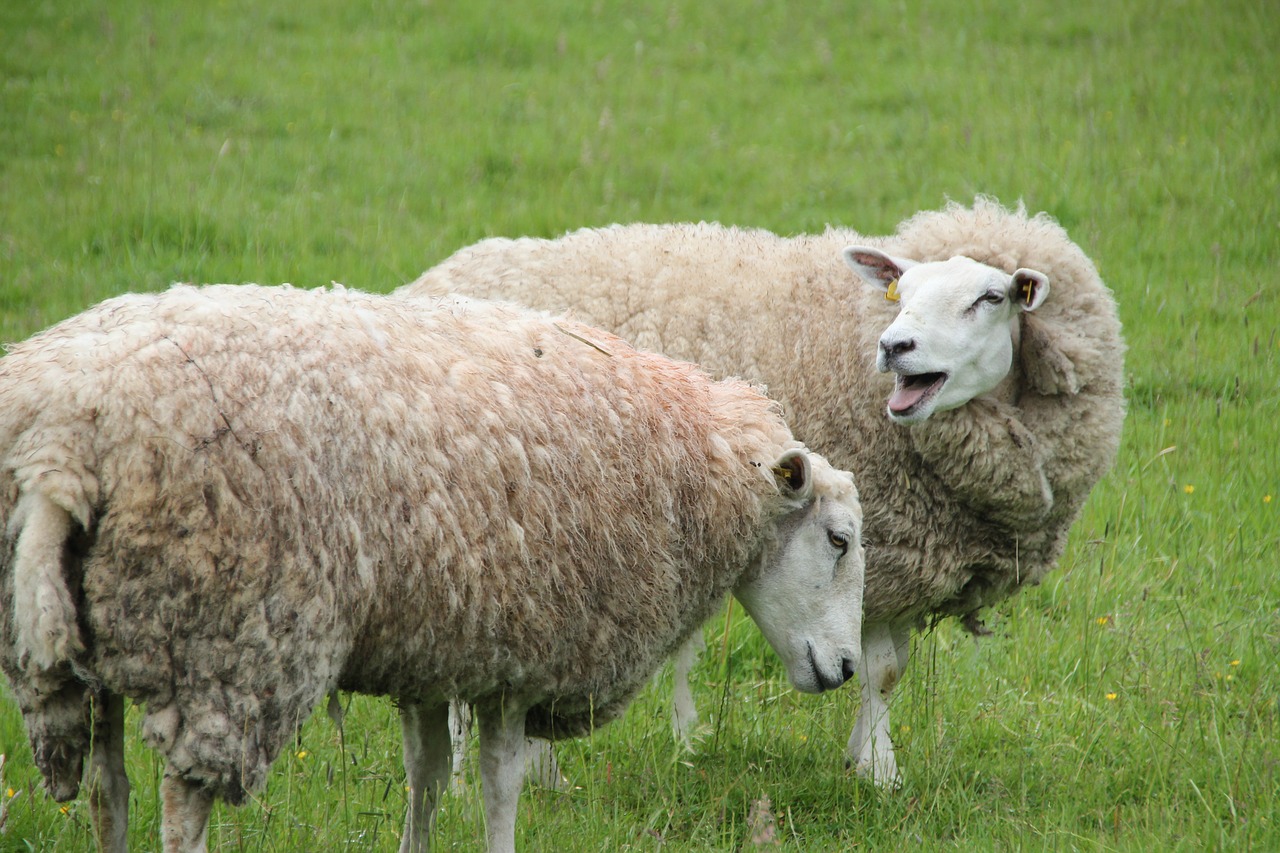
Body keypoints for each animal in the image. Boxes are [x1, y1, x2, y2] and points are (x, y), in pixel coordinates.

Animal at [0, 284, 865, 850]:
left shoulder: (436, 640)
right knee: (183, 805)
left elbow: (427, 774)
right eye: (839, 539)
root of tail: (60, 448)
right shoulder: (523, 651)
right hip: (230, 643)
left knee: (107, 792)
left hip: (97, 642)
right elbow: (498, 781)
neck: (692, 469)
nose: (850, 667)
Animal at [401, 197, 1131, 783]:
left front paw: (869, 765)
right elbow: (877, 668)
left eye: (990, 297)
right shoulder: (885, 545)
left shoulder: (905, 558)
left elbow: (888, 668)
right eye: (902, 293)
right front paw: (878, 772)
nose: (895, 345)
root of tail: (433, 280)